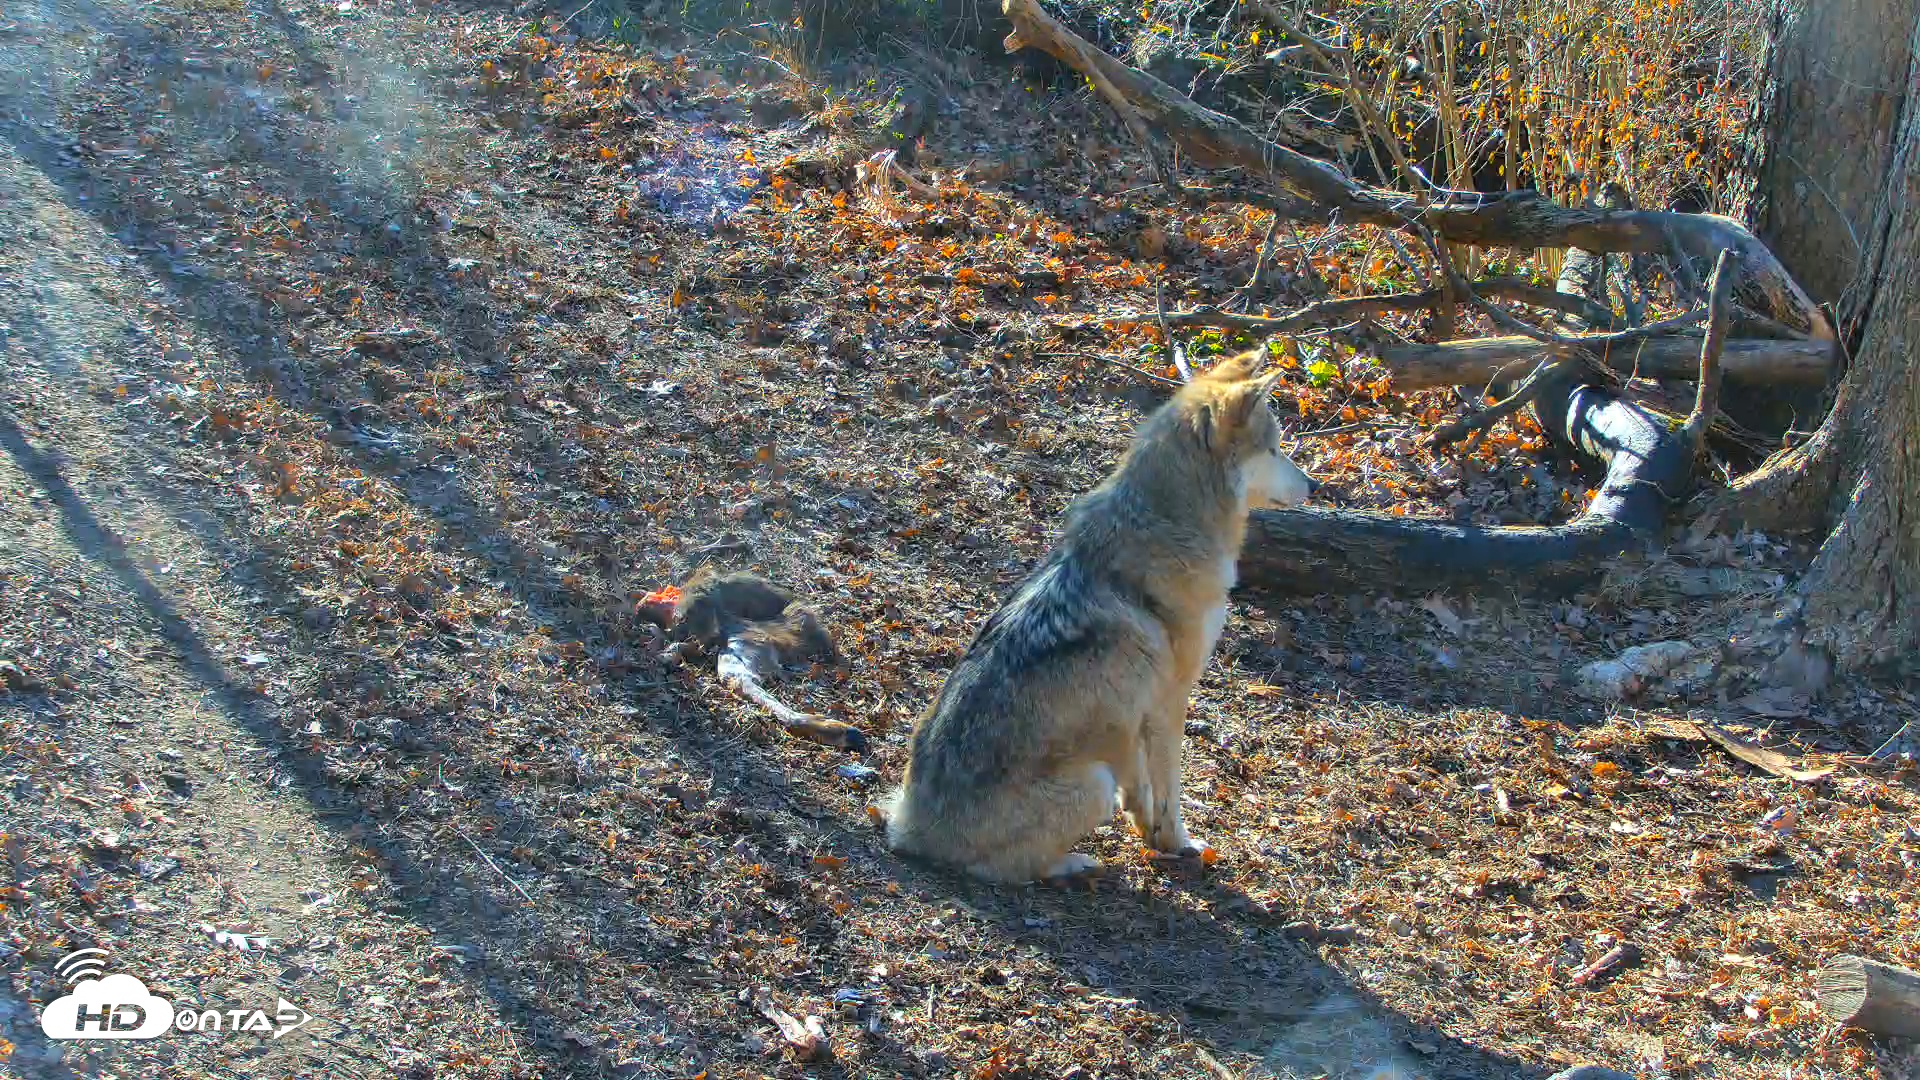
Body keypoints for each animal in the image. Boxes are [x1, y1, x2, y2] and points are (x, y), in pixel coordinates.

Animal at [881, 350, 1317, 882]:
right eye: (1274, 449)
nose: (1314, 484)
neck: (1167, 524)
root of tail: (909, 830)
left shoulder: (1133, 717)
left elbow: (1142, 792)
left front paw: (1150, 835)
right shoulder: (1168, 702)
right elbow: (1168, 791)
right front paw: (1179, 843)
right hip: (1093, 784)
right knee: (1009, 869)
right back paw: (1075, 863)